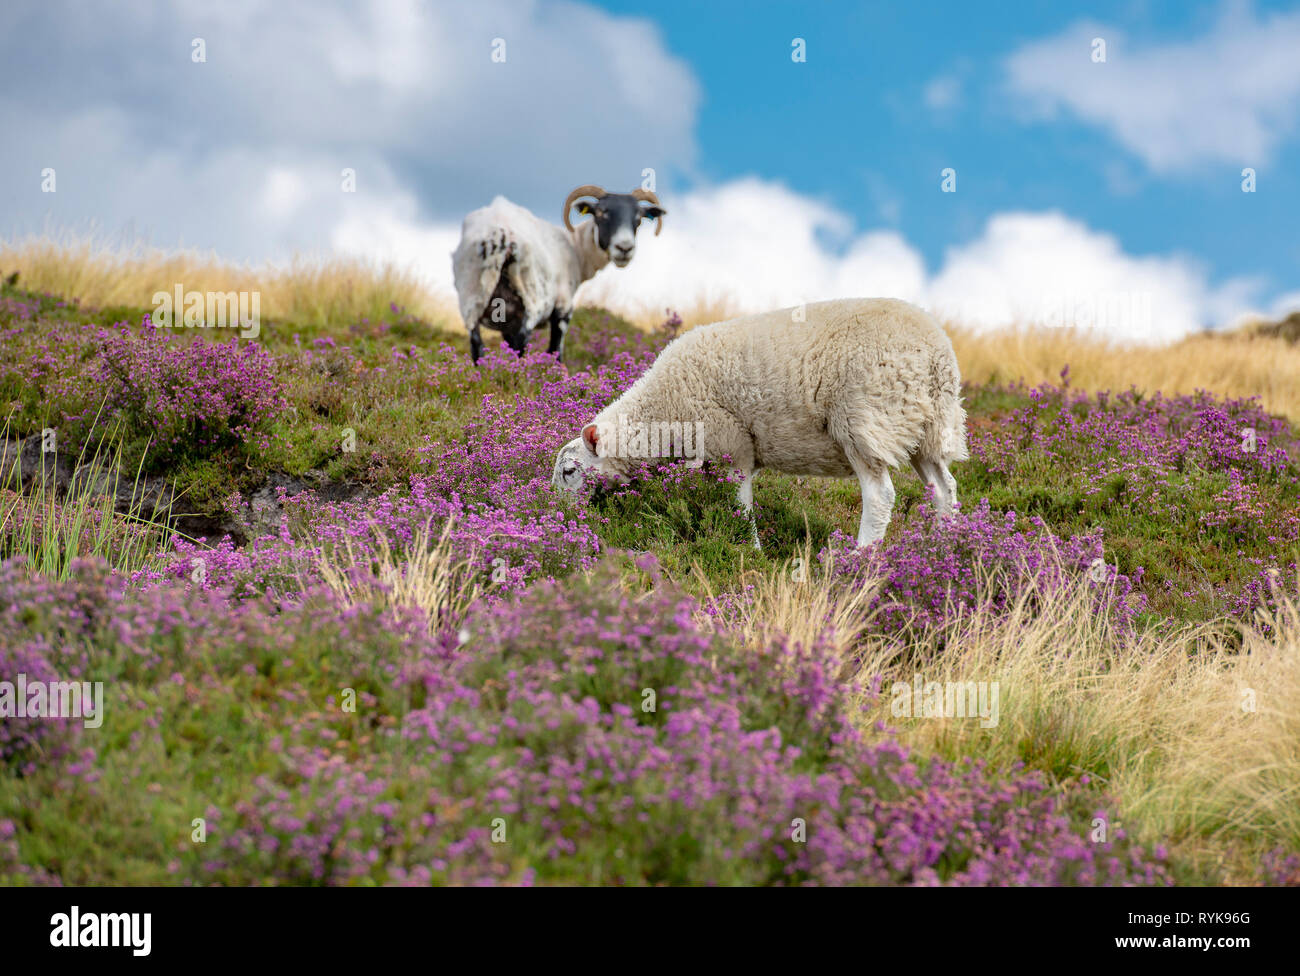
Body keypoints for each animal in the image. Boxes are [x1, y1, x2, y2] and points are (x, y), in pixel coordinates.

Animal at [452, 184, 665, 363]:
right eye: (601, 213)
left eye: (638, 218)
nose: (625, 248)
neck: (575, 248)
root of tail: (499, 233)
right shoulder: (563, 308)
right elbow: (555, 352)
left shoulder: (508, 323)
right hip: (533, 298)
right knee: (522, 341)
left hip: (471, 297)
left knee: (477, 344)